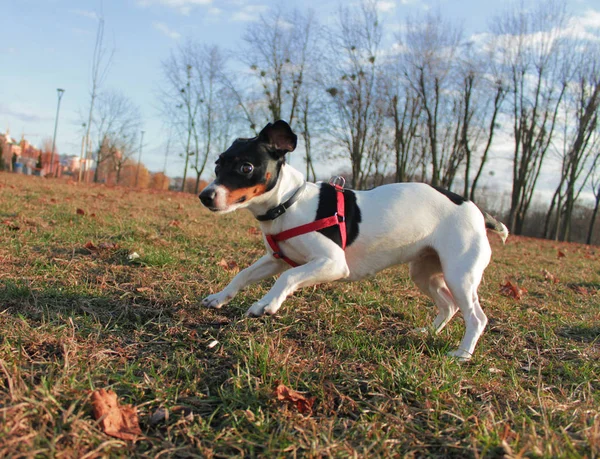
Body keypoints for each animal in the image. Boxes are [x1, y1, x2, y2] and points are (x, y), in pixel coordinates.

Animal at [199, 120, 508, 362]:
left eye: (246, 167)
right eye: (217, 164)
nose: (205, 196)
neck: (289, 203)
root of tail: (479, 211)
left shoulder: (332, 263)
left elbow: (287, 278)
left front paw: (267, 304)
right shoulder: (277, 259)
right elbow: (243, 274)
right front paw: (219, 297)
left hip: (460, 275)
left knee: (476, 317)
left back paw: (462, 354)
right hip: (424, 272)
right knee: (449, 306)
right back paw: (428, 333)